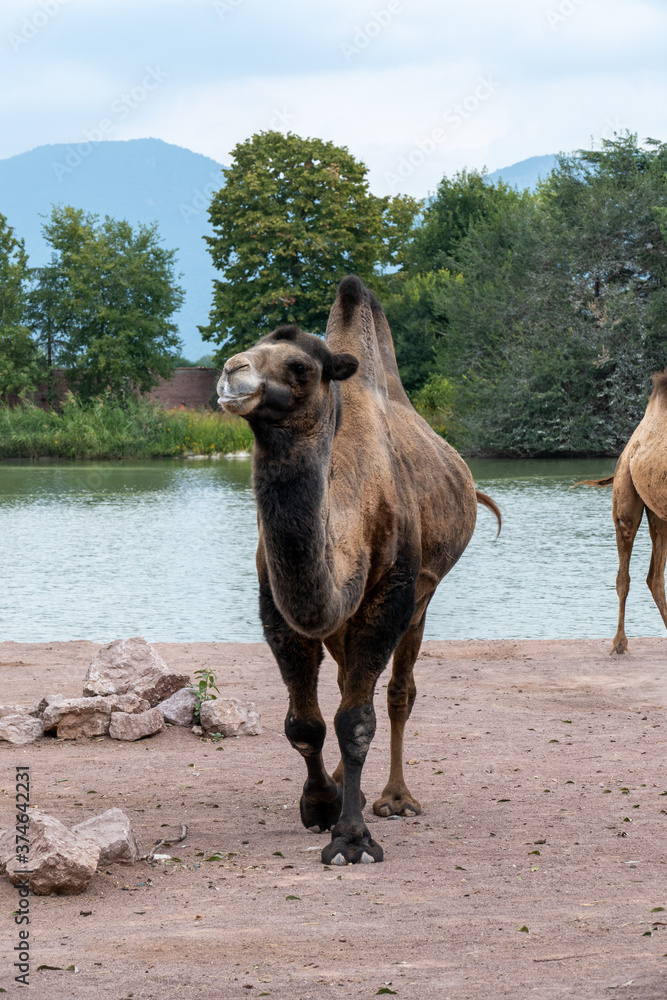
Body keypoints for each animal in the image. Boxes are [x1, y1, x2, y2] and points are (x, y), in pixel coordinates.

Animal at [218, 275, 500, 865]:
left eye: (300, 368)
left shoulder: (391, 593)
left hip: (422, 598)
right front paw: (321, 804)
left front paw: (351, 839)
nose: (233, 370)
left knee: (398, 692)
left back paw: (395, 799)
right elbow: (305, 722)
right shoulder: (276, 602)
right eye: (252, 346)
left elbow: (355, 720)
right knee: (349, 679)